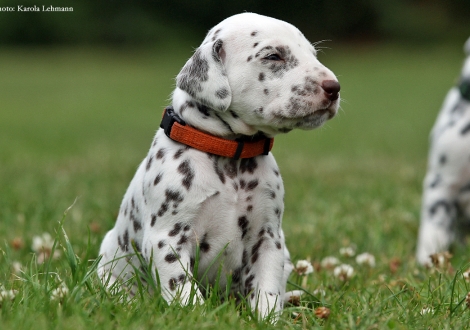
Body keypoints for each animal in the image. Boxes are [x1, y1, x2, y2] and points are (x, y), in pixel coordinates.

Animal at [98, 13, 342, 320]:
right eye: (273, 56)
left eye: (313, 54)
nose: (334, 87)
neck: (230, 157)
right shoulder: (166, 238)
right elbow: (182, 287)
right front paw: (195, 316)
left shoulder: (268, 238)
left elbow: (267, 288)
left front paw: (268, 318)